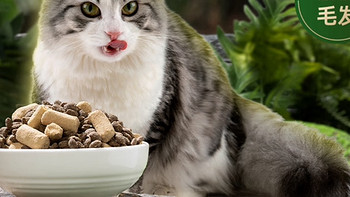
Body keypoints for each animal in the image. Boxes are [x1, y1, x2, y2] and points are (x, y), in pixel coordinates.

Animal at [33, 0, 350, 197]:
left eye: (130, 8)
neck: (104, 74)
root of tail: (236, 97)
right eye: (89, 9)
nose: (114, 33)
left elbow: (140, 169)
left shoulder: (156, 119)